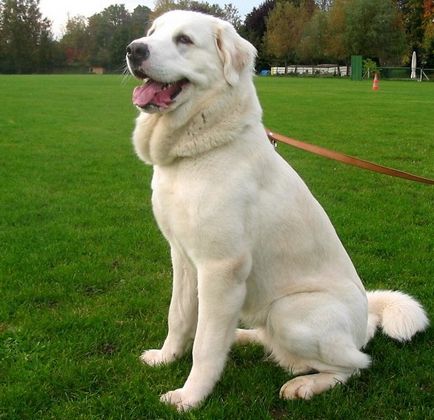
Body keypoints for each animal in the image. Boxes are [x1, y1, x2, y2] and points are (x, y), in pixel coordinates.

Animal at [124, 10, 428, 414]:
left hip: (288, 312)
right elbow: (179, 318)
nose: (134, 49)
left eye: (184, 40)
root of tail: (364, 321)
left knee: (354, 365)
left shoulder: (221, 269)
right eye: (152, 33)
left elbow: (205, 346)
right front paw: (165, 357)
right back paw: (241, 336)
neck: (197, 151)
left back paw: (304, 385)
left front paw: (190, 396)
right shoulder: (184, 259)